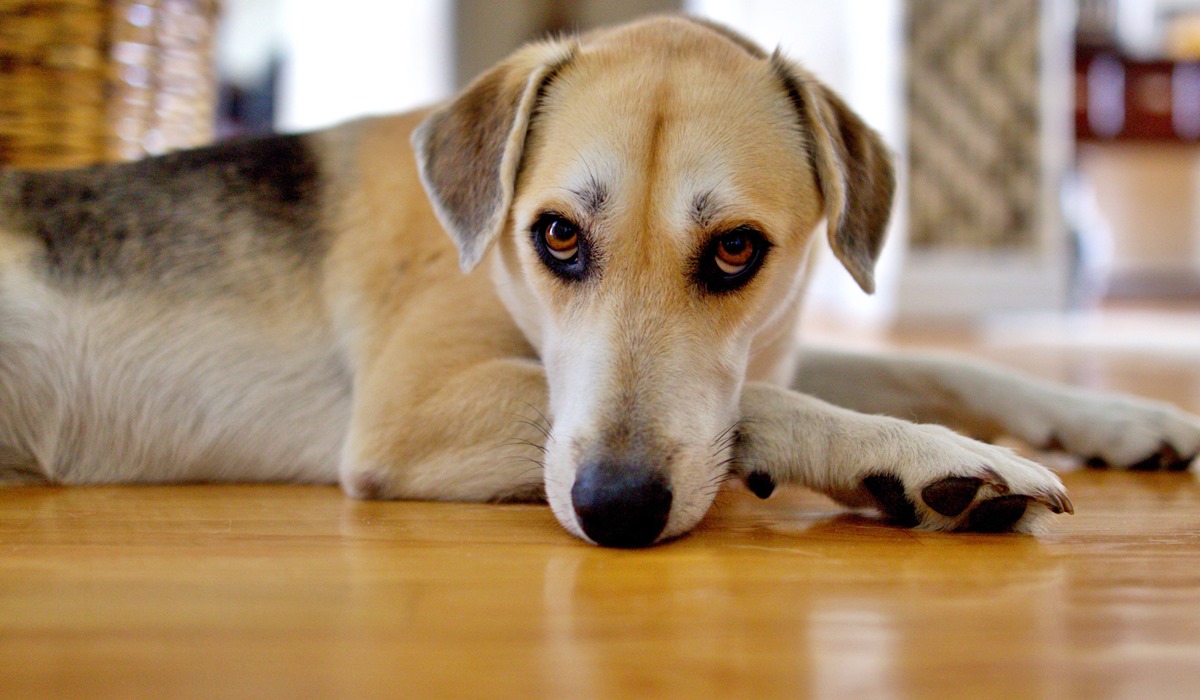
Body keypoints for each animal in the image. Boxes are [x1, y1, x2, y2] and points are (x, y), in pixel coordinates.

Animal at [2, 16, 1200, 547]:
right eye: (557, 237)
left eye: (736, 250)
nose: (616, 510)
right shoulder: (410, 409)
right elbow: (775, 402)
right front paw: (922, 461)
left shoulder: (774, 333)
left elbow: (946, 368)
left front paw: (1121, 416)